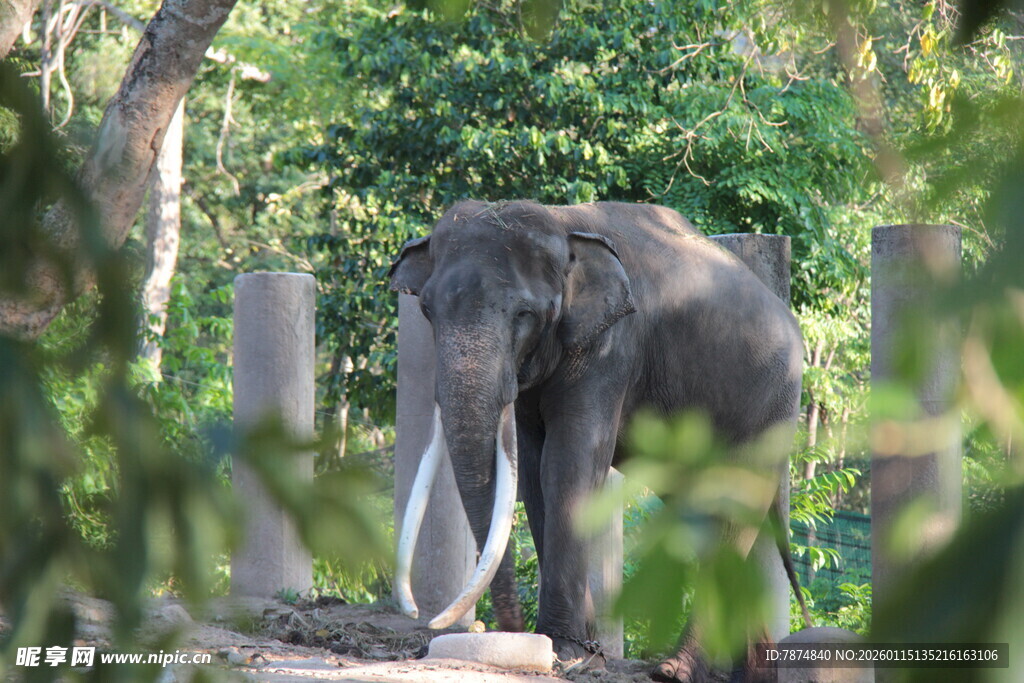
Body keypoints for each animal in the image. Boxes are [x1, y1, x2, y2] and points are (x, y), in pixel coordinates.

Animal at [390, 200, 804, 682]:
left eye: (524, 314)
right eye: (427, 311)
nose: (504, 630)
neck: (562, 223)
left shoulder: (611, 347)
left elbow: (568, 462)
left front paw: (566, 650)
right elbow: (534, 471)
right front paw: (580, 651)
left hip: (770, 409)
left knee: (732, 504)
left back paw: (672, 670)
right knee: (700, 510)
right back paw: (749, 672)